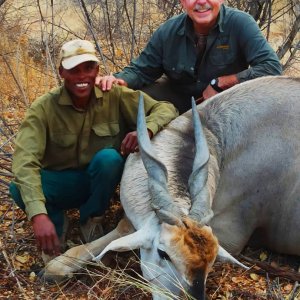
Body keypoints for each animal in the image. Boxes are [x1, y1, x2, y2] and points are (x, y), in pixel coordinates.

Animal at [40, 77, 300, 300]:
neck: (224, 142)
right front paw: (56, 266)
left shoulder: (230, 236)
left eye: (212, 263)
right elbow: (122, 229)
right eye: (163, 253)